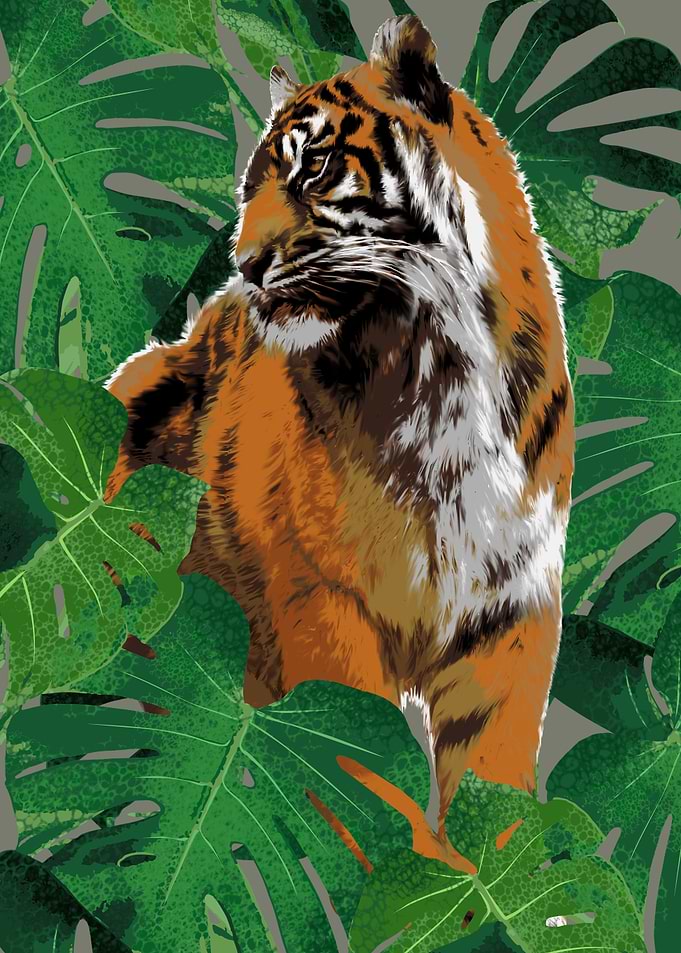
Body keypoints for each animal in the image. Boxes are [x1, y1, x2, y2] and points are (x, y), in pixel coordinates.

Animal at [105, 15, 575, 868]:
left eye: (314, 167)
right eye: (249, 187)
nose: (244, 266)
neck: (440, 367)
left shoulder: (511, 609)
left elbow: (494, 777)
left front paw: (496, 876)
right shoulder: (322, 597)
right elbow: (363, 771)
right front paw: (410, 870)